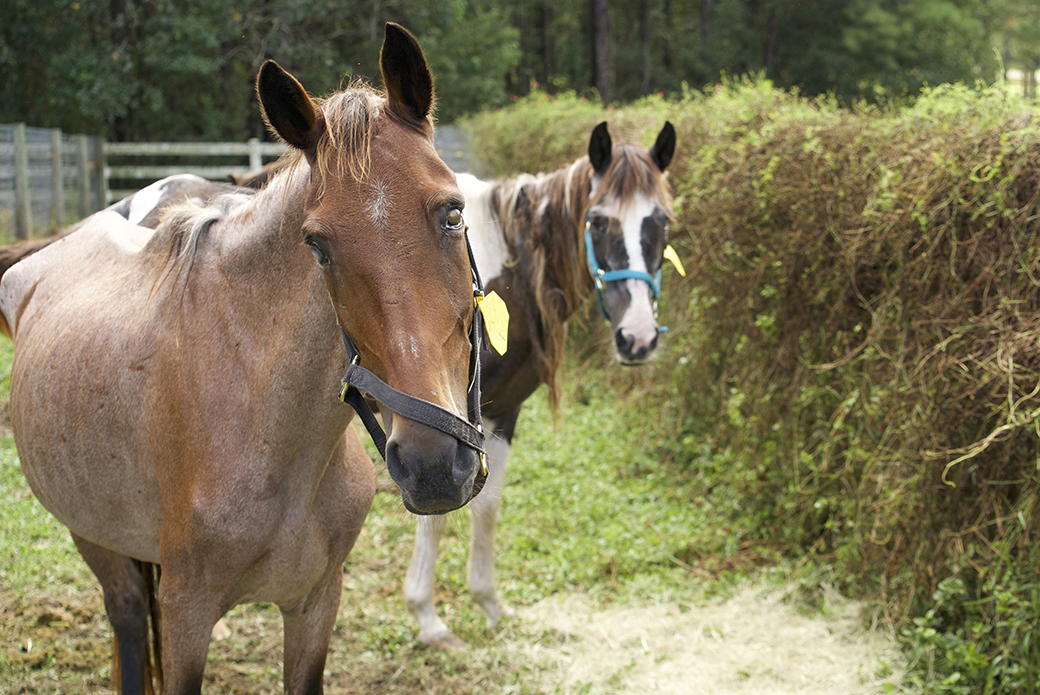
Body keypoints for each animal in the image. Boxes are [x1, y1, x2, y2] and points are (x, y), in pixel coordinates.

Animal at [0, 23, 484, 695]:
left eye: (453, 213)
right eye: (318, 245)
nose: (432, 465)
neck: (273, 437)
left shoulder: (315, 604)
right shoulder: (185, 617)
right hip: (94, 536)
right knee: (127, 621)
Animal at [401, 119, 678, 645]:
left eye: (663, 222)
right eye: (598, 221)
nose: (638, 337)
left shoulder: (502, 412)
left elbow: (487, 508)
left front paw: (488, 604)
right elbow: (437, 515)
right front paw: (428, 619)